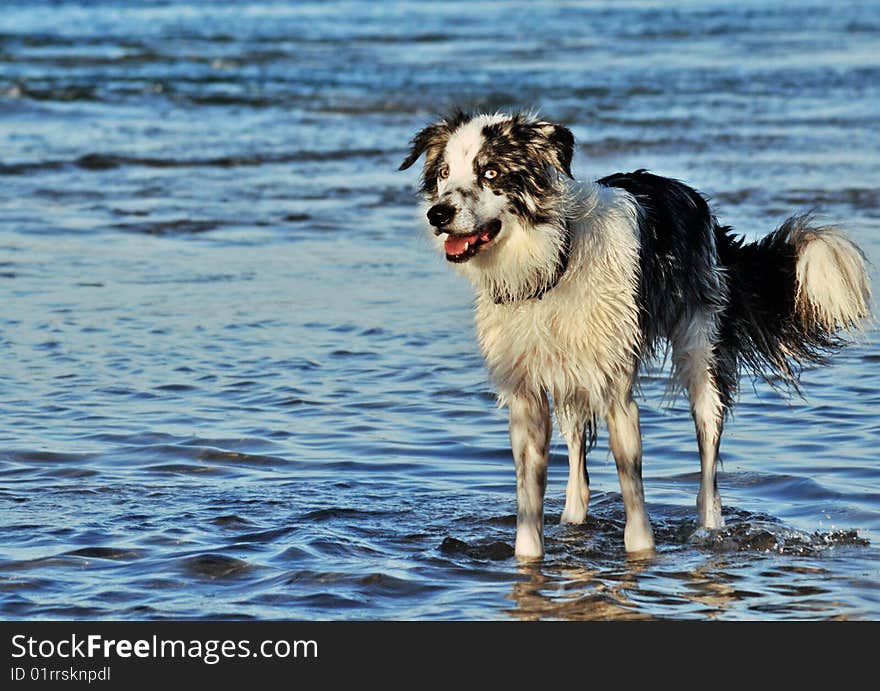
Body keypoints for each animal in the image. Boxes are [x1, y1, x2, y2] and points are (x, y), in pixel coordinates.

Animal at [402, 111, 868, 560]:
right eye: (444, 172)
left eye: (491, 172)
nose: (437, 214)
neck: (550, 266)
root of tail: (701, 206)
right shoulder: (527, 395)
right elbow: (529, 502)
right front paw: (528, 559)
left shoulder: (616, 389)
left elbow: (633, 488)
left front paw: (642, 555)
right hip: (573, 379)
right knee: (578, 466)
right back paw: (573, 523)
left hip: (702, 356)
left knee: (708, 466)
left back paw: (708, 530)